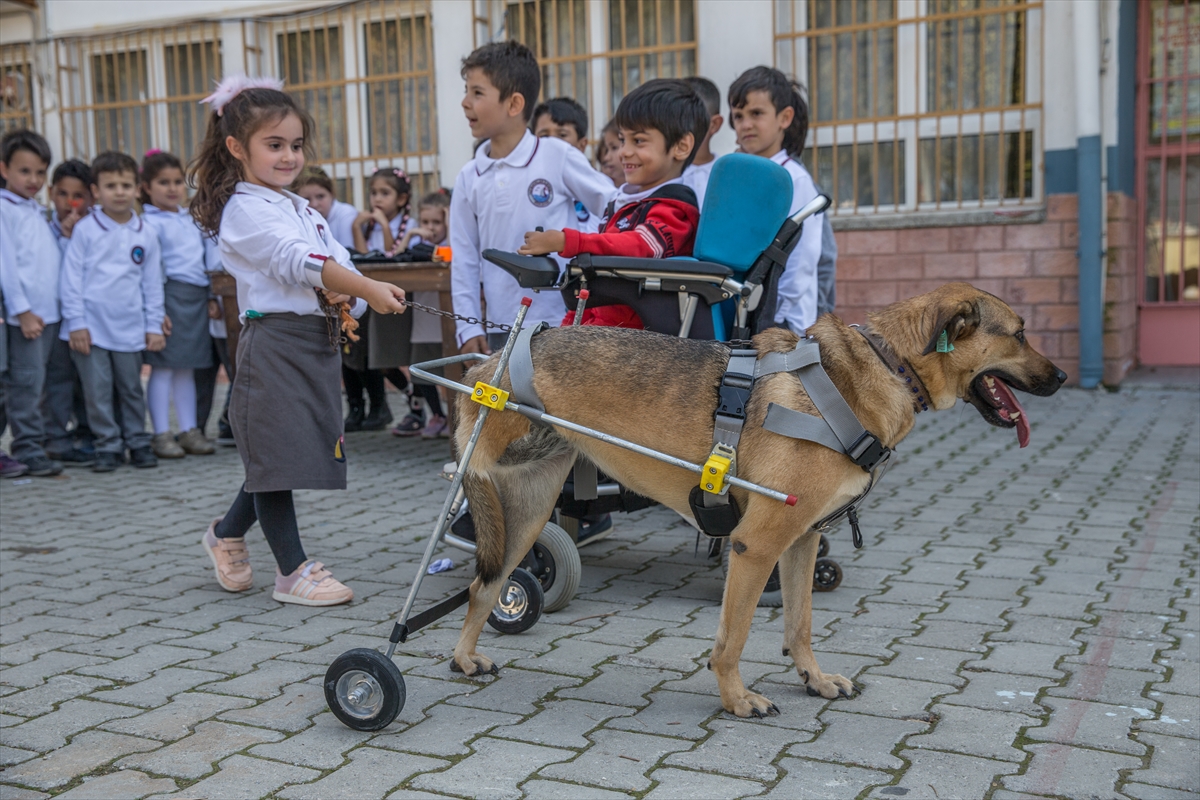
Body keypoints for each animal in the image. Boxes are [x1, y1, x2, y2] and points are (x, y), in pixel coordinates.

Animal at [451, 283, 1070, 719]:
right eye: (1018, 334)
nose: (1063, 376)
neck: (884, 366)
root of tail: (488, 362)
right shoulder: (756, 546)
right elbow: (734, 638)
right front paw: (736, 700)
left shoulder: (802, 542)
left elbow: (799, 626)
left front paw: (813, 679)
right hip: (493, 492)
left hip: (527, 515)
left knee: (484, 585)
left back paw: (463, 659)